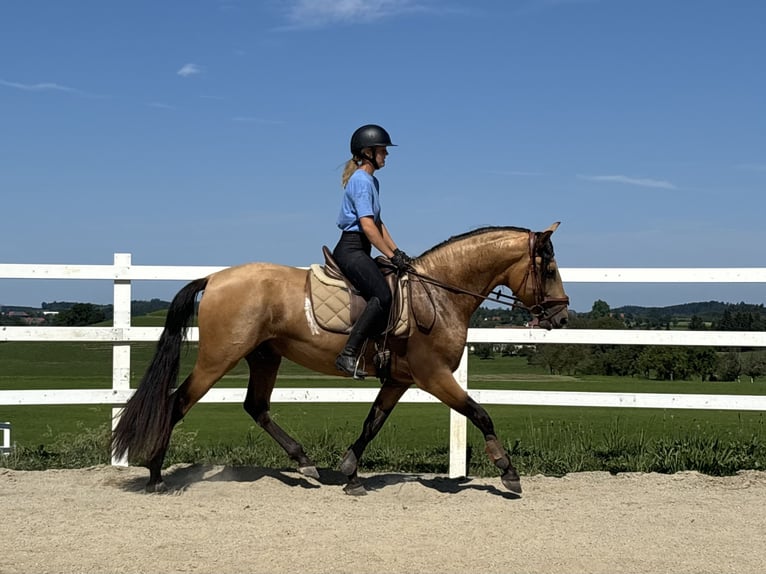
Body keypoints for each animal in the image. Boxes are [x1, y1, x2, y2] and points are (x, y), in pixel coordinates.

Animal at [112, 223, 568, 498]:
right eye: (548, 268)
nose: (561, 316)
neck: (438, 294)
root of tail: (215, 277)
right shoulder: (434, 375)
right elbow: (480, 412)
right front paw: (508, 471)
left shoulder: (399, 380)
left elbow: (372, 423)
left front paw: (349, 472)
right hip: (218, 357)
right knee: (176, 403)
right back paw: (155, 474)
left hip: (264, 356)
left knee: (255, 406)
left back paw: (306, 463)